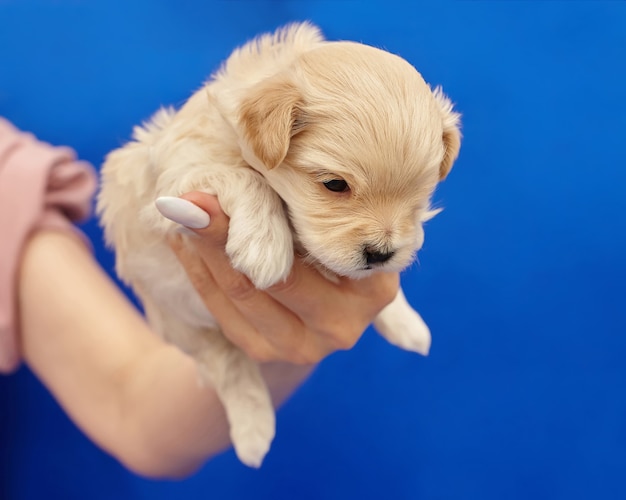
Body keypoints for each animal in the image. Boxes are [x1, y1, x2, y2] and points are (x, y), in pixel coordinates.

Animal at [96, 22, 458, 468]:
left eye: (420, 197)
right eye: (335, 184)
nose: (381, 254)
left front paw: (404, 318)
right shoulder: (177, 175)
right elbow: (246, 176)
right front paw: (265, 245)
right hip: (178, 319)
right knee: (228, 364)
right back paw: (253, 433)